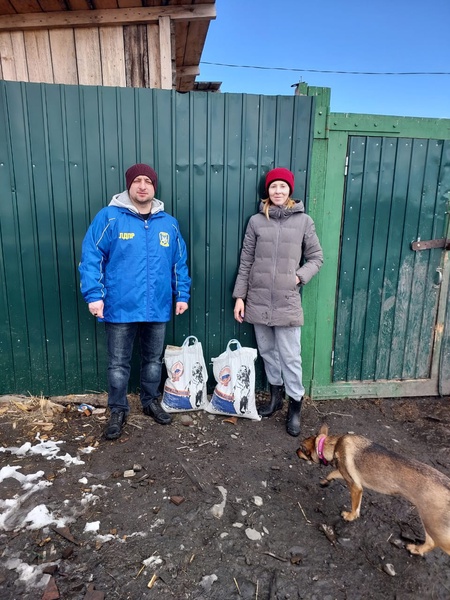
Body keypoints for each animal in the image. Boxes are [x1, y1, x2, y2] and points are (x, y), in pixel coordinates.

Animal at [298, 422, 450, 556]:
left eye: (301, 448)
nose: (295, 451)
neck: (333, 444)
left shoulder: (355, 486)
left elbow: (354, 507)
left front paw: (350, 516)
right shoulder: (348, 476)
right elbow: (333, 473)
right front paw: (325, 481)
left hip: (434, 527)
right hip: (429, 524)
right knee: (430, 543)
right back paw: (417, 549)